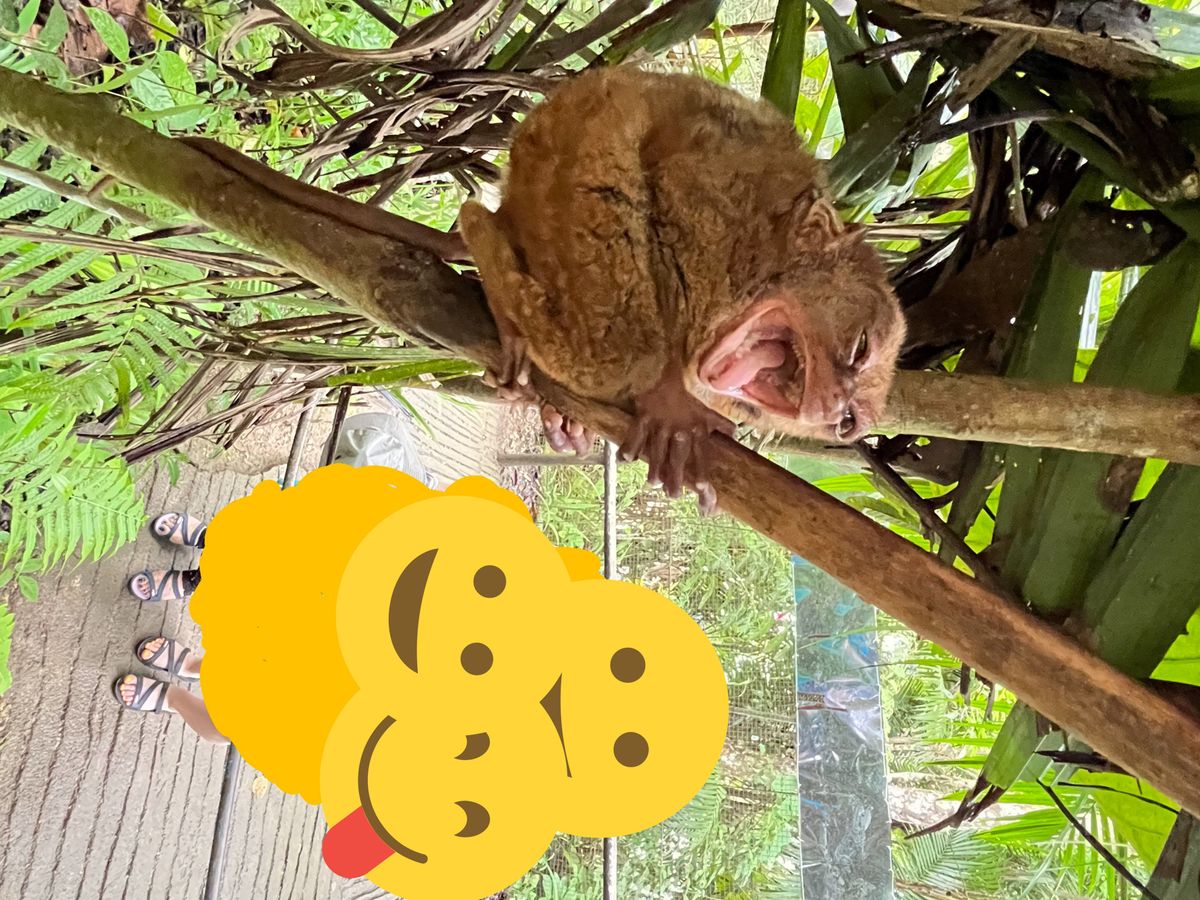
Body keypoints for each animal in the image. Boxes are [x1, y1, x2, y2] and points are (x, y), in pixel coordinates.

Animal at [460, 67, 907, 512]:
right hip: (571, 162)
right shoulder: (716, 201)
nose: (833, 405)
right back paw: (480, 232)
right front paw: (673, 406)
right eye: (860, 348)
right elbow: (670, 204)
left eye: (845, 423)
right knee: (620, 351)